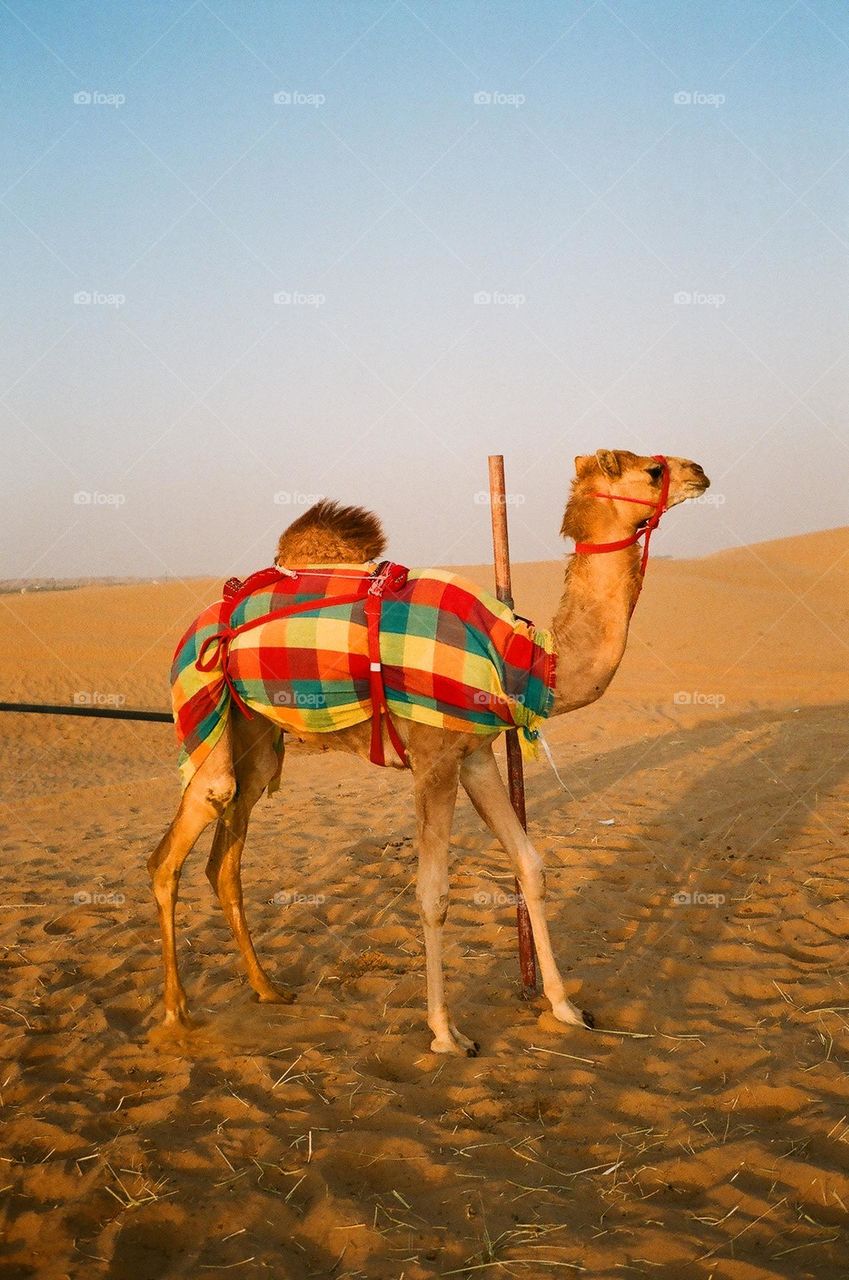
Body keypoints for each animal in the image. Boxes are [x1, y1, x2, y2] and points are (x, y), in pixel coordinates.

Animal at [148, 449, 709, 1054]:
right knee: (176, 846)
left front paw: (564, 1007)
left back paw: (268, 988)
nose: (699, 472)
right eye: (652, 472)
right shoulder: (433, 758)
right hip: (202, 707)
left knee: (225, 860)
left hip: (255, 735)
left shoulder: (475, 756)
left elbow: (530, 866)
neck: (520, 658)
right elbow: (433, 893)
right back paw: (177, 1013)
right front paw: (445, 1032)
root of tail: (196, 625)